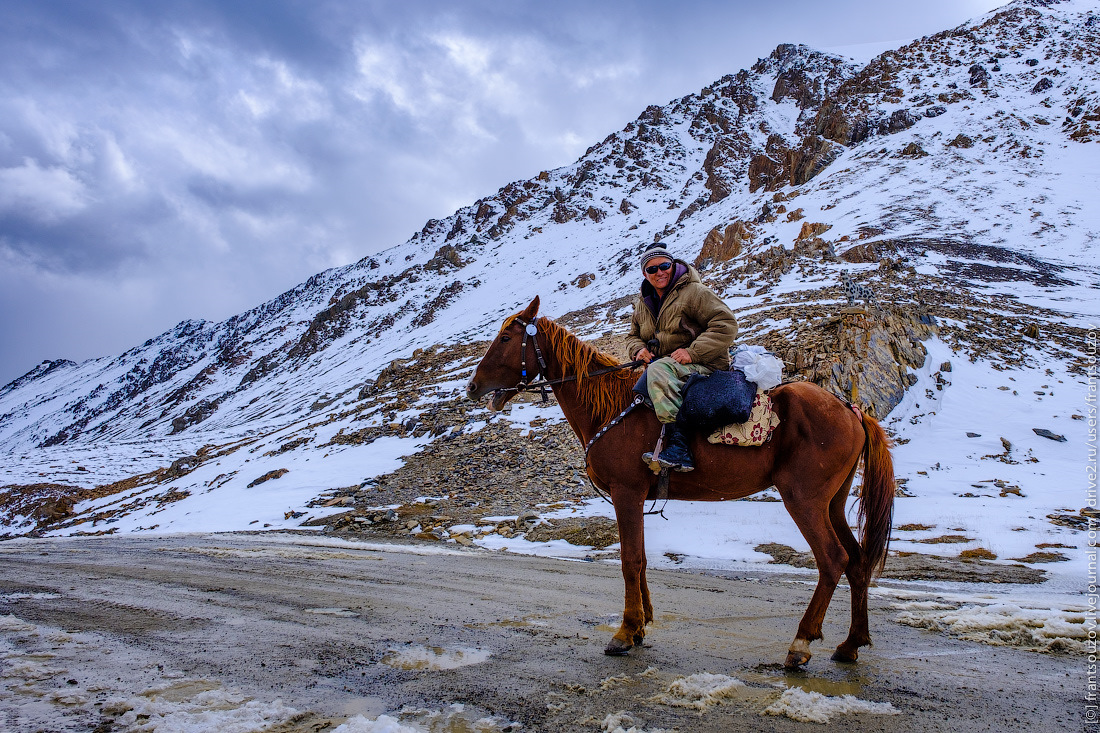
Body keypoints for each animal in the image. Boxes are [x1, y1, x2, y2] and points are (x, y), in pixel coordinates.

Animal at [466, 294, 893, 664]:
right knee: (856, 562)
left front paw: (626, 631)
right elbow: (639, 560)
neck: (612, 408)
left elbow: (630, 560)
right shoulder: (634, 498)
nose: (472, 387)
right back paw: (851, 644)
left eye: (506, 338)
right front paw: (641, 626)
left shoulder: (626, 492)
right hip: (832, 502)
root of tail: (851, 409)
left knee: (832, 560)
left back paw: (801, 643)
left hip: (803, 499)